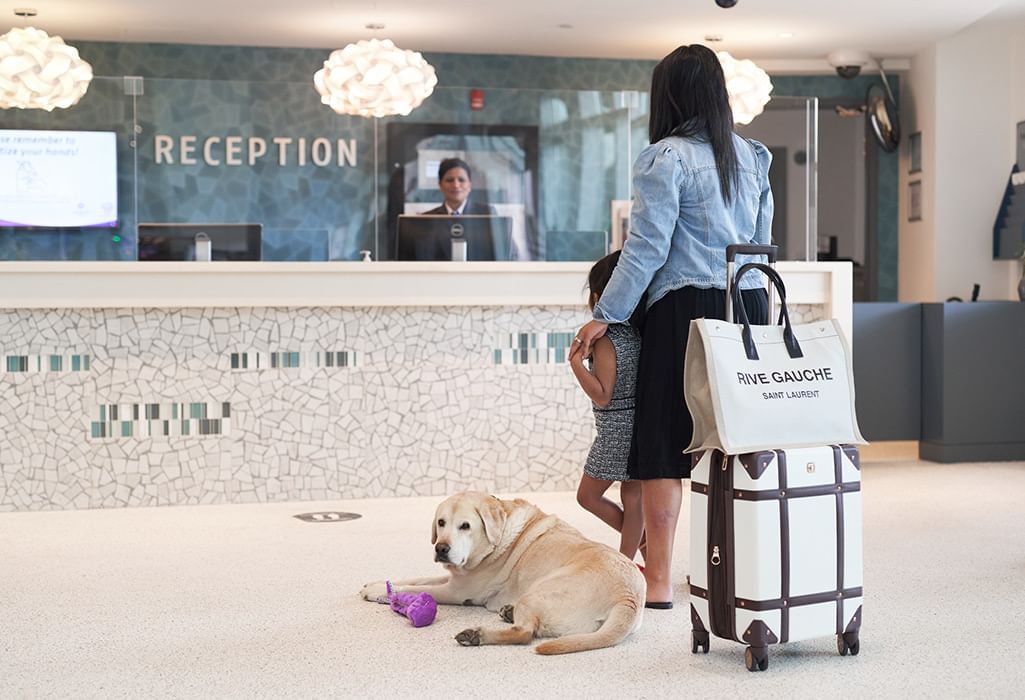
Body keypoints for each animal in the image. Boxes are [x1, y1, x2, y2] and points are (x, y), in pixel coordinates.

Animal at [358, 489, 639, 655]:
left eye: (465, 526)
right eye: (441, 522)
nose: (441, 548)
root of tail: (628, 598)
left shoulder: (457, 590)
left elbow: (414, 588)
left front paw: (379, 592)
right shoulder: (454, 576)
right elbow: (415, 579)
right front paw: (377, 584)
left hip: (538, 591)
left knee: (525, 633)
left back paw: (476, 635)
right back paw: (507, 612)